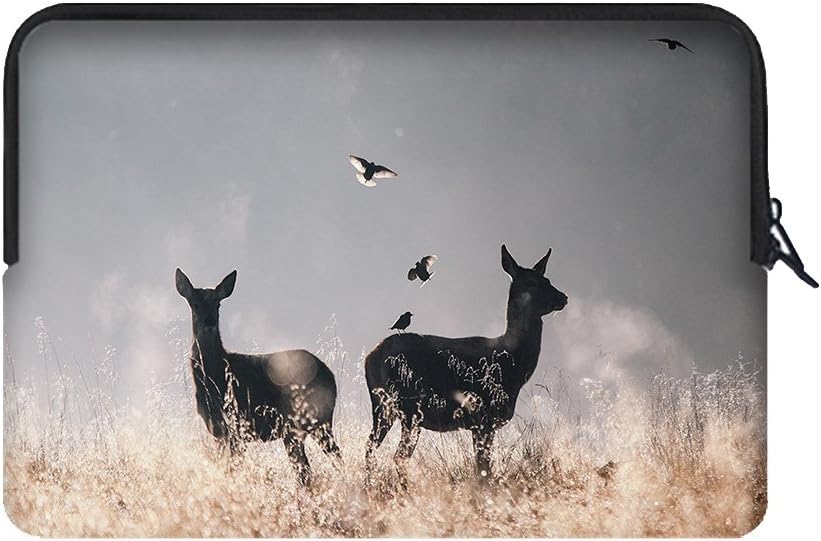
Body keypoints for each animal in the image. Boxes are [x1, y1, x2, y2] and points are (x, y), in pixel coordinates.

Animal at [175, 268, 341, 487]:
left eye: (218, 304)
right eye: (195, 303)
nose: (209, 322)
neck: (215, 376)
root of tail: (330, 376)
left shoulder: (236, 425)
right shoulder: (218, 430)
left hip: (302, 421)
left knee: (313, 468)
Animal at [364, 245, 567, 486]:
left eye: (547, 279)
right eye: (532, 283)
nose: (563, 297)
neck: (512, 363)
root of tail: (370, 358)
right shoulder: (484, 416)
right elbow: (483, 469)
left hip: (382, 406)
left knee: (371, 445)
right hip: (409, 406)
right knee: (399, 455)